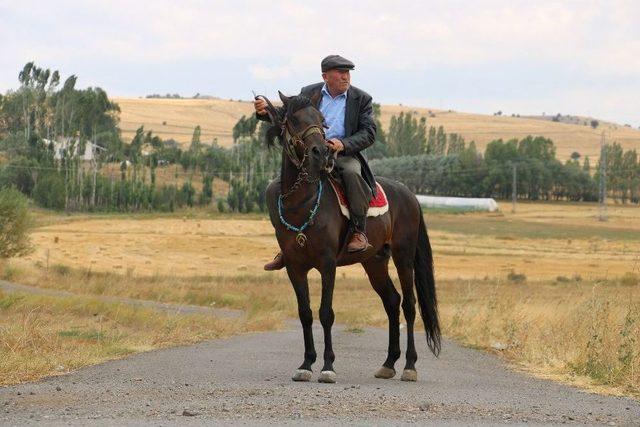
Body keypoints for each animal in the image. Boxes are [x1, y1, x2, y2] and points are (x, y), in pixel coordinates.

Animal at [262, 90, 440, 384]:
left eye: (321, 120)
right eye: (294, 120)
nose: (321, 152)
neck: (303, 202)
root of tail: (410, 195)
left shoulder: (327, 264)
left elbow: (326, 313)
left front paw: (327, 366)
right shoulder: (295, 267)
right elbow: (305, 313)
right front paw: (306, 364)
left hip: (403, 256)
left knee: (409, 305)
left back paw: (409, 366)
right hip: (374, 261)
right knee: (392, 301)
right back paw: (388, 364)